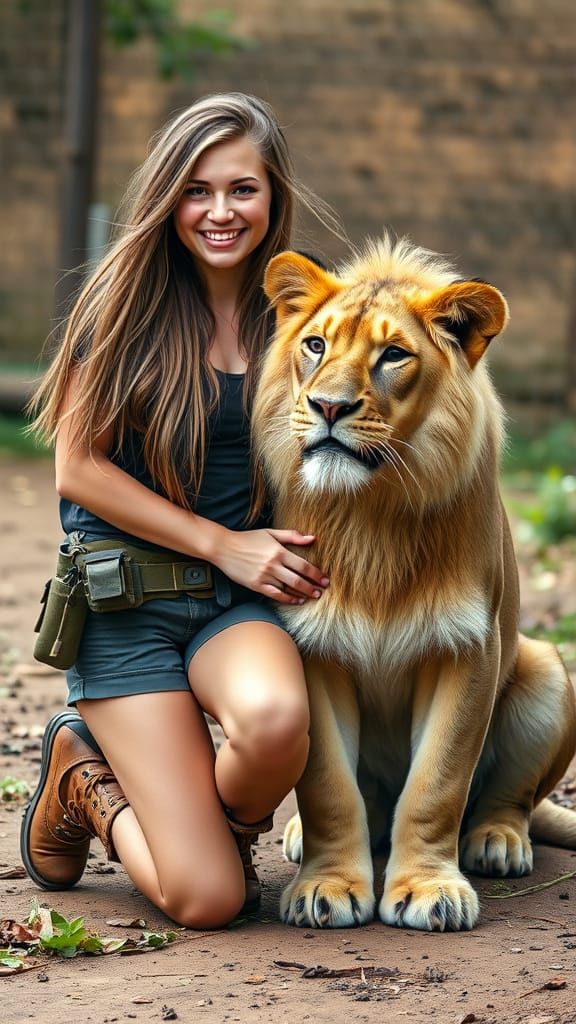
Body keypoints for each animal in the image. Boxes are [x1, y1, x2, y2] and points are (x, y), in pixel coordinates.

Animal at [252, 236, 576, 932]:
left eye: (393, 355)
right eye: (315, 345)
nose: (328, 407)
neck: (372, 512)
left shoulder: (468, 649)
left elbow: (437, 783)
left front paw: (430, 889)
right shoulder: (310, 645)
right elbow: (328, 787)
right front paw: (327, 885)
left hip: (544, 668)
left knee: (512, 799)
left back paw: (497, 842)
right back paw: (298, 836)